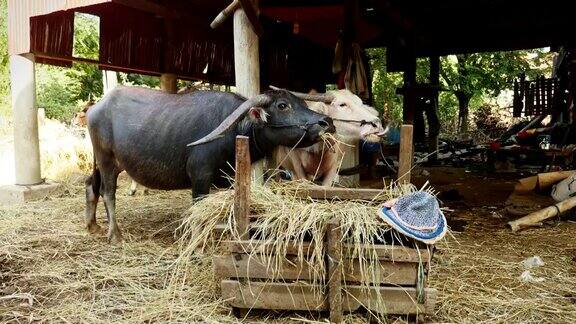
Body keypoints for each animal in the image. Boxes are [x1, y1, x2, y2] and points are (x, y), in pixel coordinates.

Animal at [84, 86, 332, 243]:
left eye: (301, 102)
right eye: (282, 105)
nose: (326, 122)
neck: (236, 130)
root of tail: (95, 108)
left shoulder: (230, 179)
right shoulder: (200, 177)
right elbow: (197, 210)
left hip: (111, 163)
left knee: (91, 185)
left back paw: (92, 225)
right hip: (106, 160)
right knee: (108, 192)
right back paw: (115, 235)